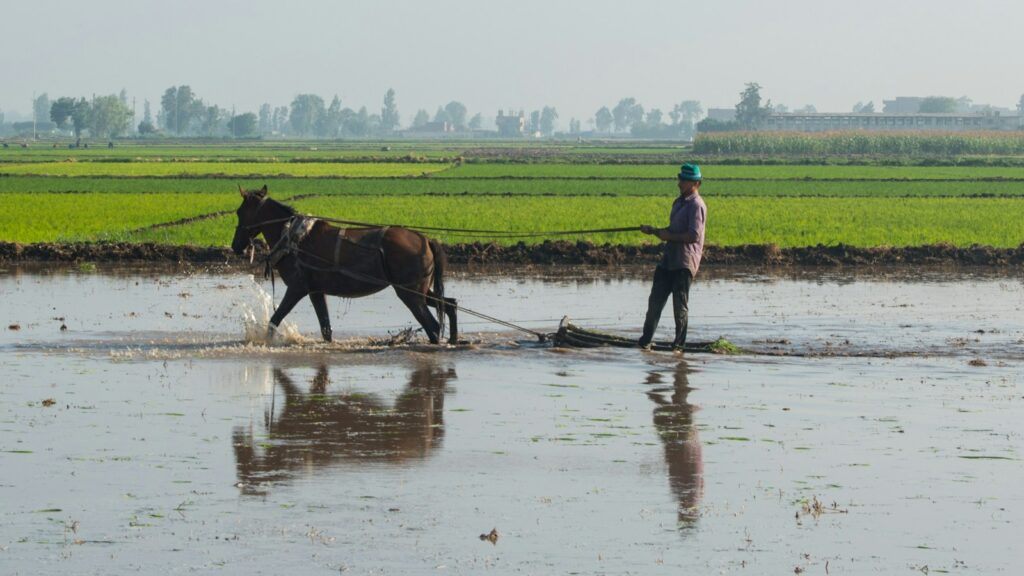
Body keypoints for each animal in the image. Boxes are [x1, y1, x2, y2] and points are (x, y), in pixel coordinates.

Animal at [231, 185, 458, 344]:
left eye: (240, 212)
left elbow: (275, 320)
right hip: (419, 290)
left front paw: (265, 341)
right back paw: (454, 339)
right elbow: (326, 329)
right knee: (449, 305)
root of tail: (425, 239)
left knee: (433, 325)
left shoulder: (297, 288)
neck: (293, 238)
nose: (235, 246)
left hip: (410, 293)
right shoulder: (316, 291)